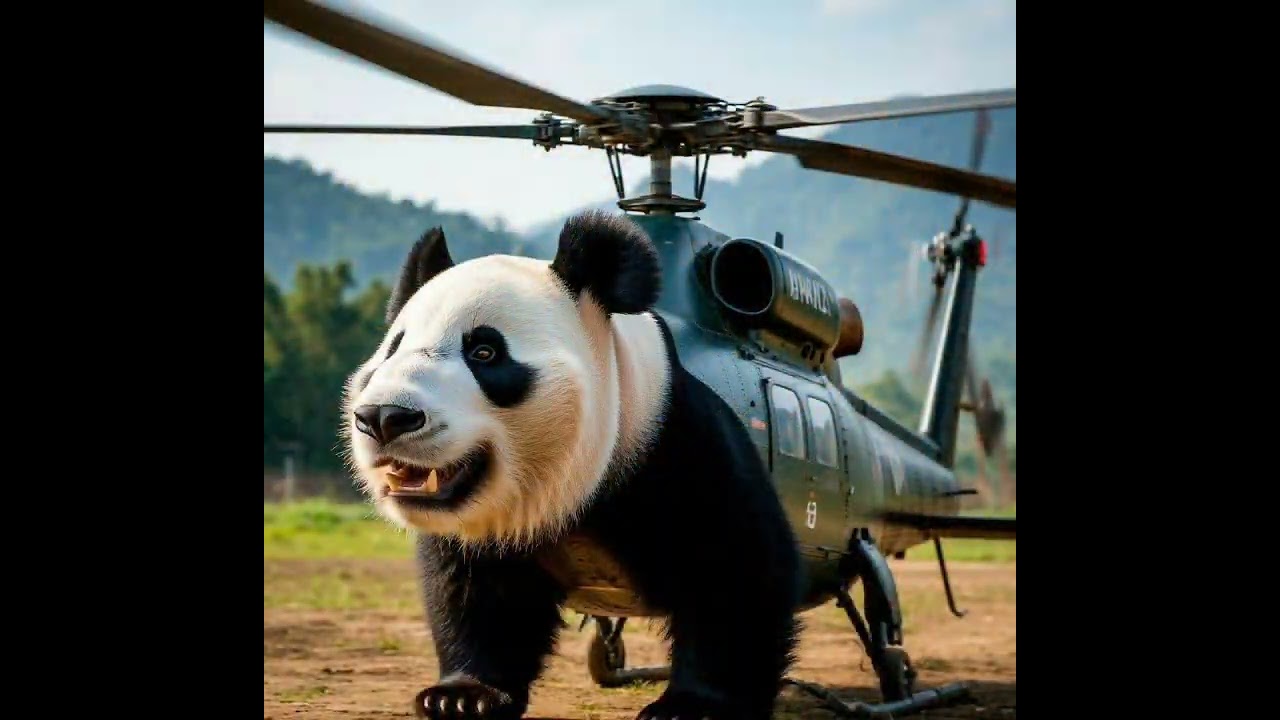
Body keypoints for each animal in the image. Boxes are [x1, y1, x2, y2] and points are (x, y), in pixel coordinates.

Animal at [343, 210, 803, 720]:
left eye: (484, 352)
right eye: (393, 349)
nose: (385, 417)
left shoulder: (676, 439)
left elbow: (733, 569)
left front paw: (693, 706)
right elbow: (478, 593)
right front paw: (463, 696)